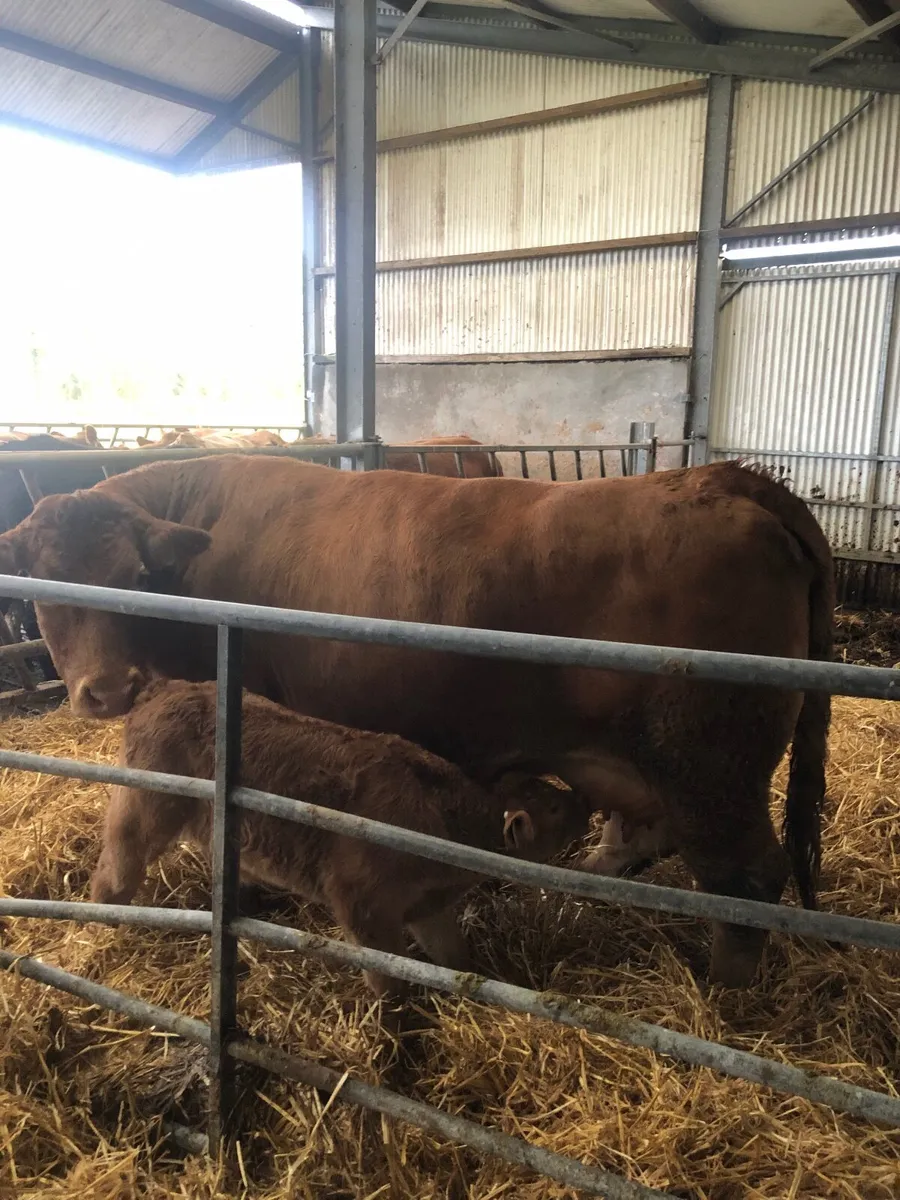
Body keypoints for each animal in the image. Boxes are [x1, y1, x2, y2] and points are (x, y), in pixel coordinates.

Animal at [91, 679, 589, 1001]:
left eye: (551, 794)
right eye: (555, 810)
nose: (585, 802)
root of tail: (165, 688)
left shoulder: (427, 907)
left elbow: (454, 959)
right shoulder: (363, 906)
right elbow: (390, 985)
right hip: (143, 807)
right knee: (115, 869)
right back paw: (104, 924)